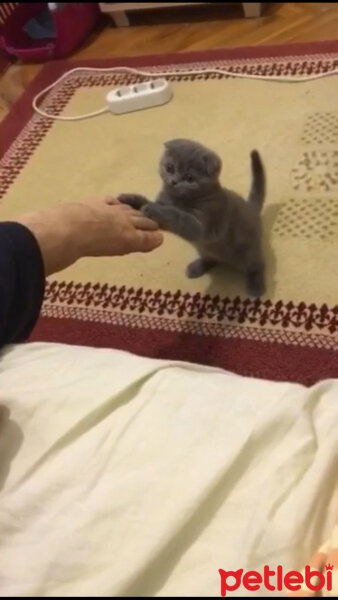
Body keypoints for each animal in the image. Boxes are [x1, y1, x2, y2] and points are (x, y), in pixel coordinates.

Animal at [119, 137, 266, 296]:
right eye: (170, 167)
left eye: (189, 178)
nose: (173, 181)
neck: (179, 200)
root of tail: (252, 209)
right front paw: (131, 200)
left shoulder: (203, 222)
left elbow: (178, 216)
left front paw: (153, 209)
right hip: (205, 248)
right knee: (212, 258)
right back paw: (197, 267)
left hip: (248, 250)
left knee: (256, 264)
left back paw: (255, 286)